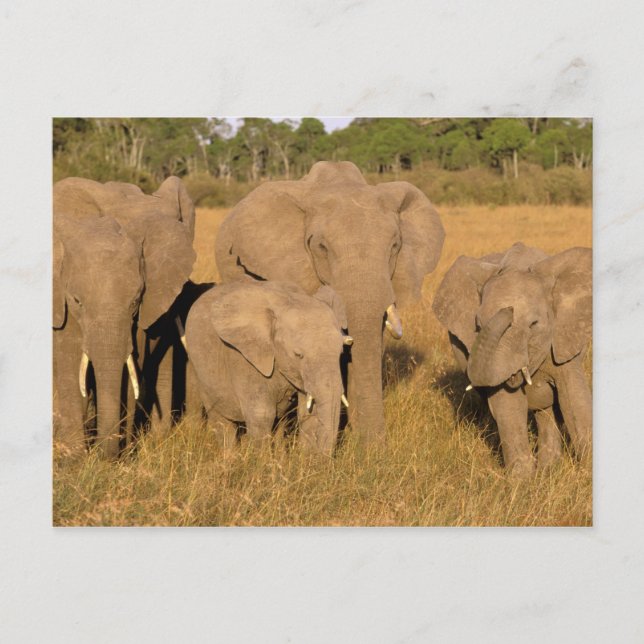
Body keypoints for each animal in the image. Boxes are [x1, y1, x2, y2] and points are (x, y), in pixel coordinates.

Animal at [53, 176, 196, 458]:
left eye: (135, 301)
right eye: (77, 301)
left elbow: (132, 362)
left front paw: (122, 455)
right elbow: (69, 356)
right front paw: (72, 458)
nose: (102, 454)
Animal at [184, 281, 353, 454]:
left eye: (340, 353)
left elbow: (308, 412)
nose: (324, 458)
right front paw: (261, 460)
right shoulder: (243, 357)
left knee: (280, 422)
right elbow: (262, 414)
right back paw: (229, 457)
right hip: (200, 370)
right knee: (221, 421)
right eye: (298, 355)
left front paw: (305, 458)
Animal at [432, 242, 592, 476]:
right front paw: (522, 481)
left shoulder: (563, 338)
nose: (508, 309)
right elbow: (507, 405)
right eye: (477, 325)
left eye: (534, 324)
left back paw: (548, 468)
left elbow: (574, 399)